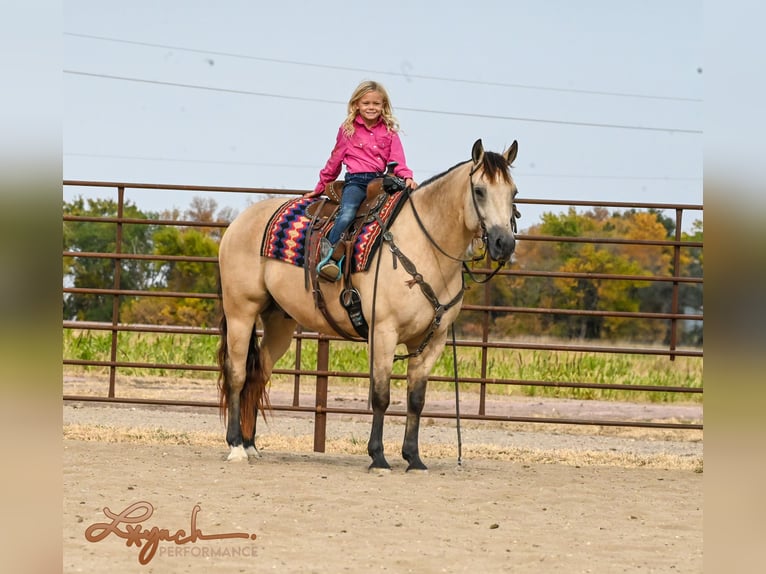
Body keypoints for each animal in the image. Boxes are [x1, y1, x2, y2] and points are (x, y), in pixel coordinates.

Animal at [219, 140, 524, 472]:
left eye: (513, 191)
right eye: (479, 190)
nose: (504, 244)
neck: (425, 247)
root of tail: (238, 223)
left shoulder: (433, 341)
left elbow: (416, 400)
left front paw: (414, 457)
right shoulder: (383, 332)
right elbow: (380, 395)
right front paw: (378, 456)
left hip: (279, 322)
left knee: (257, 373)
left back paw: (250, 445)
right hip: (241, 312)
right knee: (237, 373)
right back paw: (236, 446)